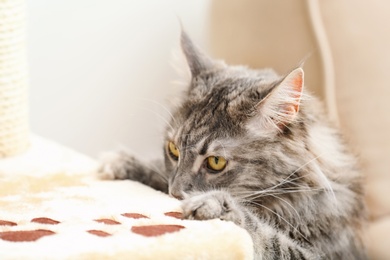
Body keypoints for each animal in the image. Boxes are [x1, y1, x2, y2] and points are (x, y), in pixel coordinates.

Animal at [99, 31, 368, 258]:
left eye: (216, 162)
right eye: (173, 150)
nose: (175, 193)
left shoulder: (324, 252)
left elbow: (266, 235)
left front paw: (213, 205)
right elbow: (158, 172)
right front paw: (122, 162)